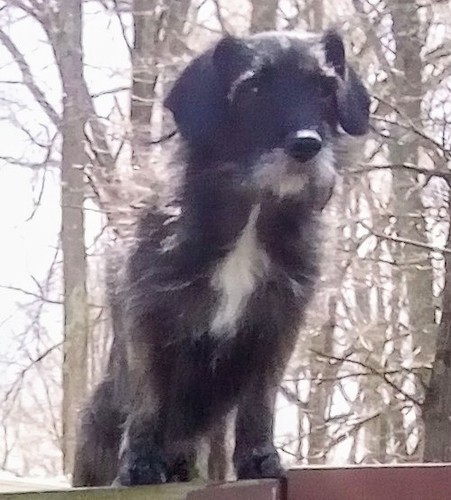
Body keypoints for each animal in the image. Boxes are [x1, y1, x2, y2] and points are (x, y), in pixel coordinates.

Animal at [73, 29, 370, 486]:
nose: (307, 145)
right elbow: (149, 397)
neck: (251, 216)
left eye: (324, 88)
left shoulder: (277, 327)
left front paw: (259, 458)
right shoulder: (149, 320)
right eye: (253, 88)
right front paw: (140, 465)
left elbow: (258, 402)